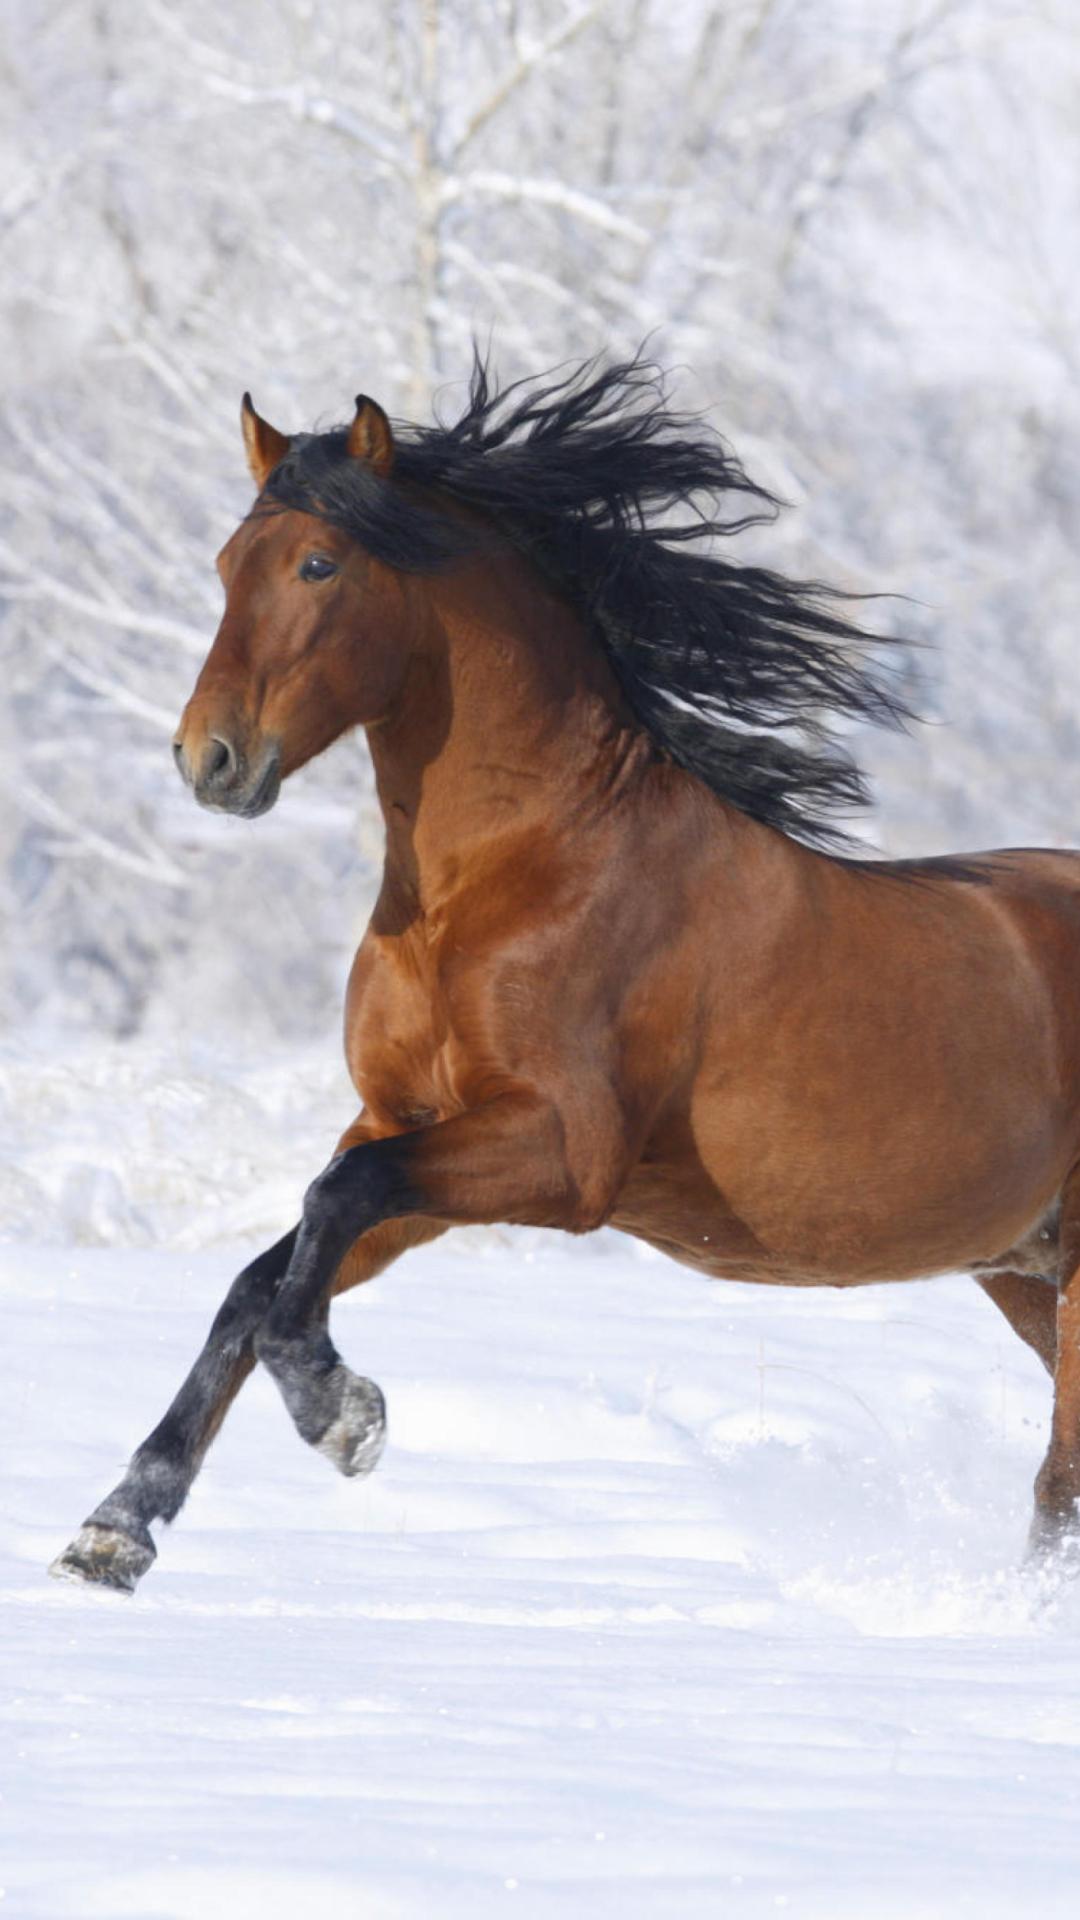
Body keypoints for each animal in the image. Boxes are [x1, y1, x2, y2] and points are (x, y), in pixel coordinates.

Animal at [52, 354, 1080, 1594]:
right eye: (222, 565)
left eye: (318, 563)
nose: (209, 759)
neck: (519, 873)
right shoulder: (406, 1126)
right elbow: (270, 1270)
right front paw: (117, 1527)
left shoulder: (563, 1150)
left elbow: (329, 1205)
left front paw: (343, 1416)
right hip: (1024, 1270)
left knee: (1061, 1478)